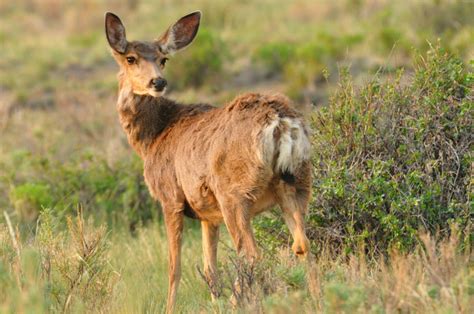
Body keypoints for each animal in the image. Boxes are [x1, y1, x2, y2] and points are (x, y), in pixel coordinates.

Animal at [104, 11, 312, 312]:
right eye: (131, 58)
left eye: (163, 59)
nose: (158, 82)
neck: (154, 136)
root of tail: (281, 121)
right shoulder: (207, 214)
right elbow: (209, 268)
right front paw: (214, 300)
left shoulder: (170, 197)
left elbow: (174, 266)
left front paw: (170, 307)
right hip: (298, 184)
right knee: (303, 245)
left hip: (234, 193)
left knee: (251, 254)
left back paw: (237, 302)